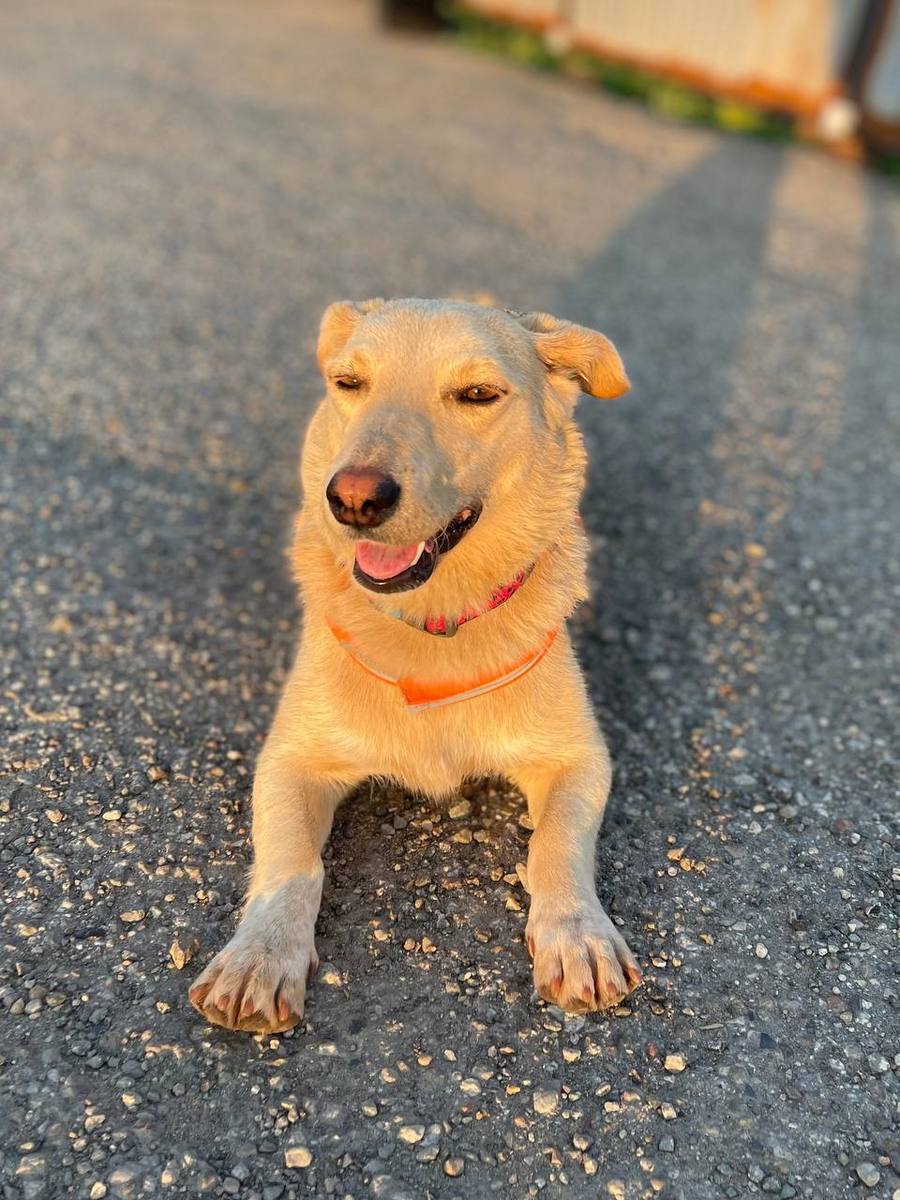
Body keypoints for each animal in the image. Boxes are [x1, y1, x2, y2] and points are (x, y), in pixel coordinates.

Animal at [188, 297, 643, 1032]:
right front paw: (260, 954)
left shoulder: (579, 757)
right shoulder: (289, 760)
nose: (353, 499)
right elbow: (291, 861)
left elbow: (556, 844)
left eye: (478, 394)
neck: (430, 625)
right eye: (349, 383)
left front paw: (578, 934)